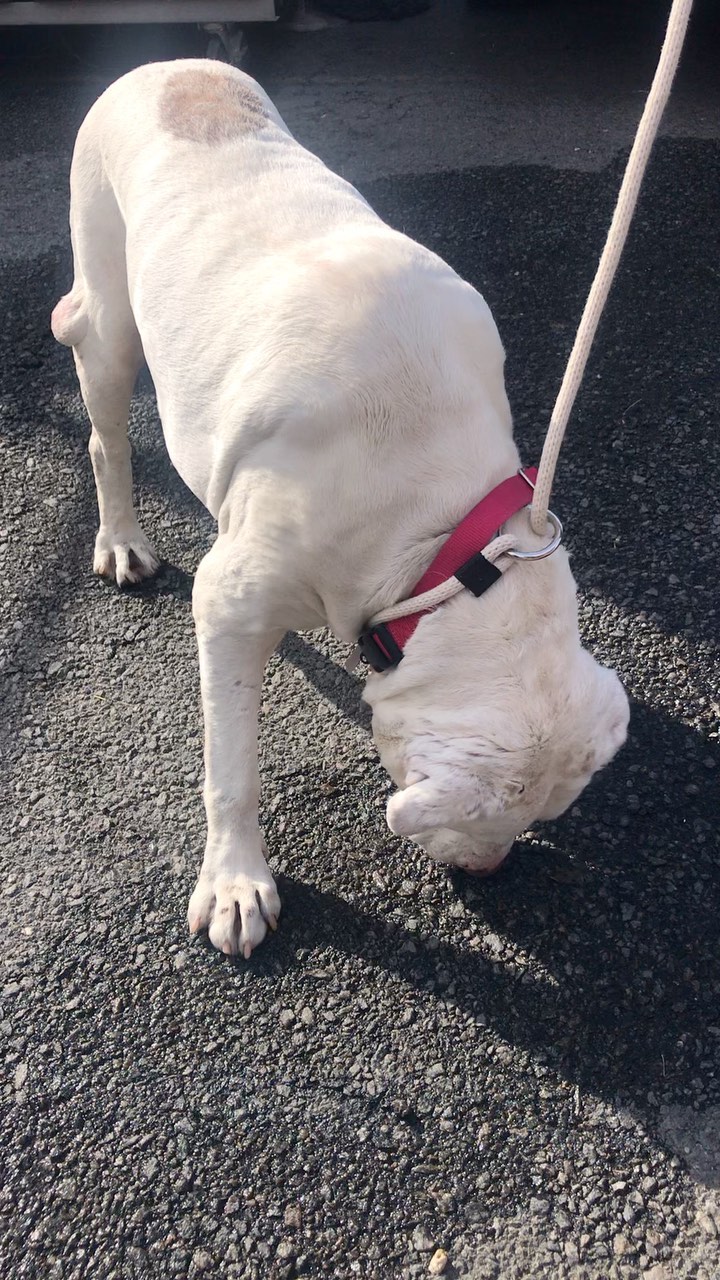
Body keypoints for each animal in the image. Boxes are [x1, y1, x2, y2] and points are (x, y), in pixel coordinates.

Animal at [50, 64, 625, 957]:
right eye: (493, 821)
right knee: (108, 435)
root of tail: (168, 66)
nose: (489, 871)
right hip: (108, 315)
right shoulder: (235, 600)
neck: (445, 535)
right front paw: (235, 883)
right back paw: (120, 542)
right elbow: (232, 769)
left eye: (542, 817)